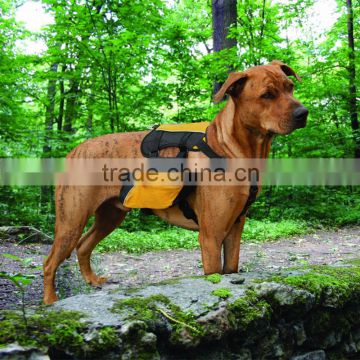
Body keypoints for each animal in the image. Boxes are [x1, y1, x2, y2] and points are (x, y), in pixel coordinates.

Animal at [42, 61, 306, 304]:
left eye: (290, 87)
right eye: (267, 94)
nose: (303, 113)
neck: (233, 149)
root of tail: (73, 151)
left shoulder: (235, 227)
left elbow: (231, 268)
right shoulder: (211, 236)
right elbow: (214, 273)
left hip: (110, 215)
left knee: (83, 245)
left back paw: (92, 280)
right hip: (71, 220)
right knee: (49, 262)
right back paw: (50, 301)